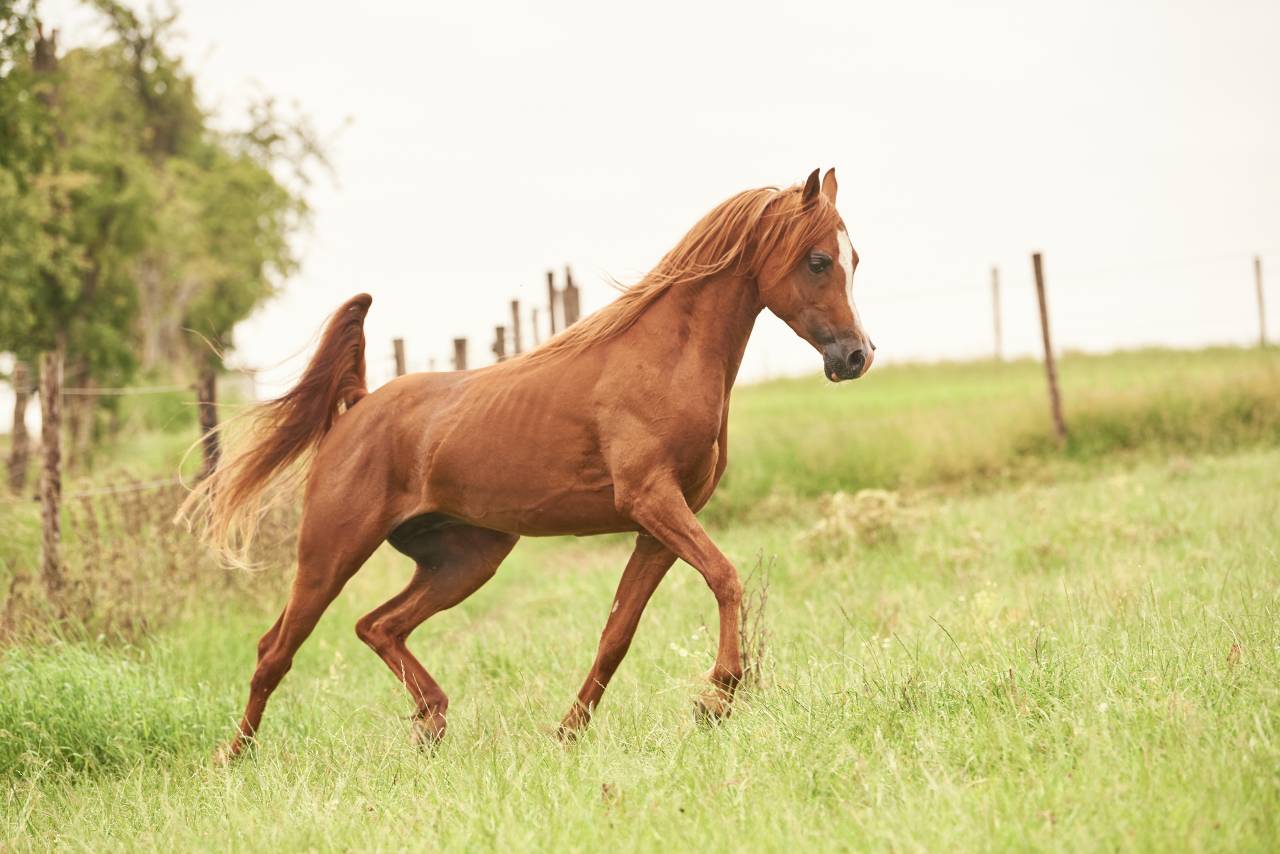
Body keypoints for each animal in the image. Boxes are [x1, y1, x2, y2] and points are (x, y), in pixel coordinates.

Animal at [183, 168, 874, 761]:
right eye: (819, 260)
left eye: (855, 260)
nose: (856, 356)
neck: (660, 359)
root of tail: (356, 405)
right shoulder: (652, 501)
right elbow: (726, 578)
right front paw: (719, 696)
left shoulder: (657, 528)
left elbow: (618, 633)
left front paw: (569, 732)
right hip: (330, 554)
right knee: (276, 649)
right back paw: (232, 758)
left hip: (465, 560)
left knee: (378, 626)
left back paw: (431, 722)